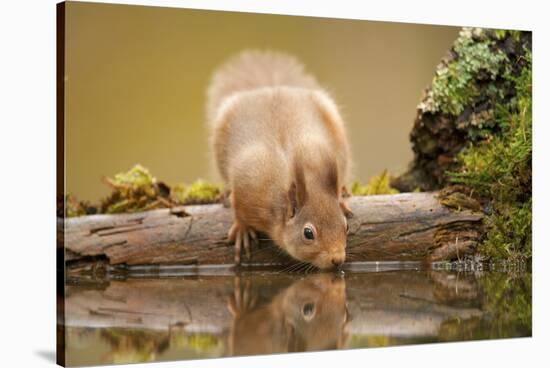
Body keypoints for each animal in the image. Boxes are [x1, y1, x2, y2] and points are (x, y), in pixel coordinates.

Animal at [207, 50, 354, 268]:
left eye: (345, 226)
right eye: (308, 233)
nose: (338, 259)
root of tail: (269, 88)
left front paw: (341, 199)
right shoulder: (248, 183)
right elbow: (238, 207)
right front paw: (242, 229)